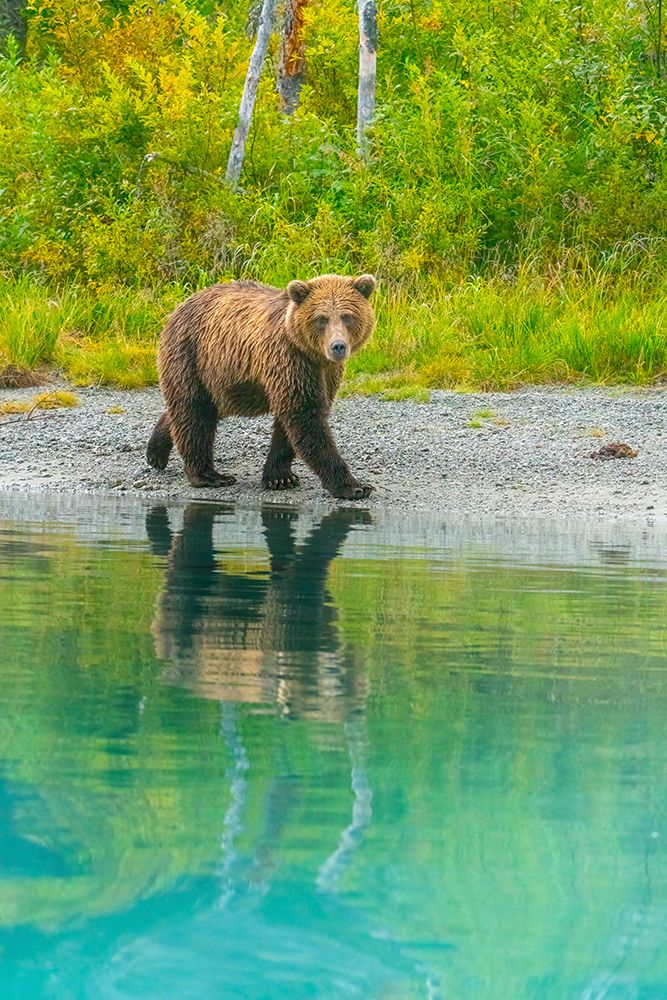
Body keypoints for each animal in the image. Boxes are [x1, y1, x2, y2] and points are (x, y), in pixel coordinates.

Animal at [146, 273, 376, 500]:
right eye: (322, 318)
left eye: (347, 316)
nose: (338, 346)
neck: (313, 355)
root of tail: (178, 307)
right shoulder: (290, 360)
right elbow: (305, 418)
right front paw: (354, 487)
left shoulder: (324, 373)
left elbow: (290, 423)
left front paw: (280, 477)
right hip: (192, 355)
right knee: (194, 411)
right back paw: (208, 475)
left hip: (219, 379)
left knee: (193, 410)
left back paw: (155, 453)